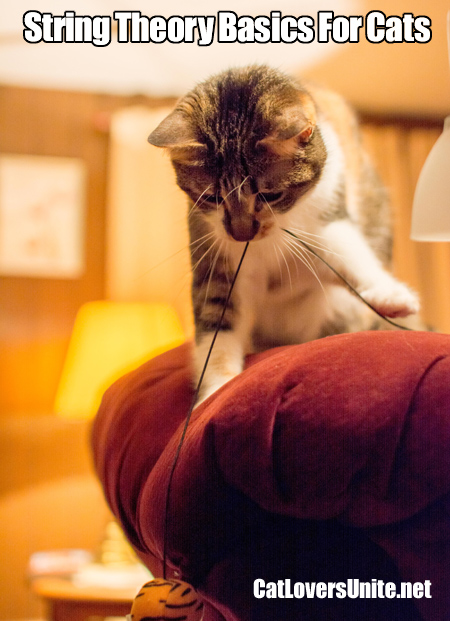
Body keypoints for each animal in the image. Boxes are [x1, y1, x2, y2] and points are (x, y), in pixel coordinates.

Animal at [149, 64, 420, 402]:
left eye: (270, 196)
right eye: (211, 198)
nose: (241, 235)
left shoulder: (327, 214)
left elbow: (350, 252)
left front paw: (389, 294)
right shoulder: (215, 254)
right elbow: (217, 321)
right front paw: (217, 389)